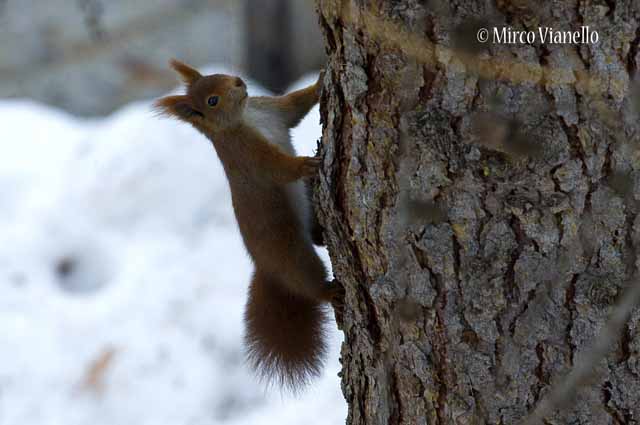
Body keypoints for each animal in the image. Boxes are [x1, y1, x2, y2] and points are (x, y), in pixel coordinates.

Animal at [155, 60, 340, 391]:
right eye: (212, 101)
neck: (246, 116)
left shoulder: (273, 109)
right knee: (307, 281)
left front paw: (320, 83)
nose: (239, 81)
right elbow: (280, 168)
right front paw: (306, 164)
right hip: (291, 253)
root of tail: (265, 269)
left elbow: (294, 105)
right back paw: (329, 291)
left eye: (216, 76)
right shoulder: (250, 158)